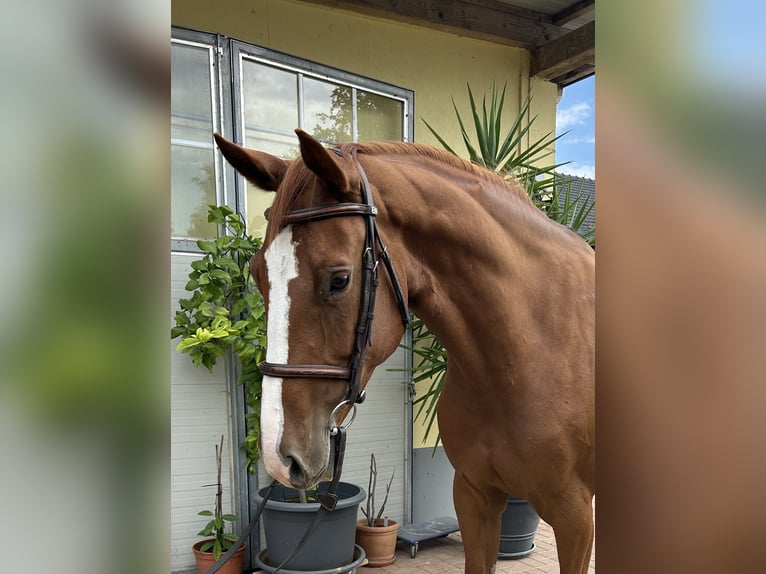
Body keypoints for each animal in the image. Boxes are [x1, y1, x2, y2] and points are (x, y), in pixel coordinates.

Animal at [213, 129, 595, 574]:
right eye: (258, 274)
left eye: (339, 279)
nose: (279, 456)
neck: (527, 352)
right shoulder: (475, 497)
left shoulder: (573, 516)